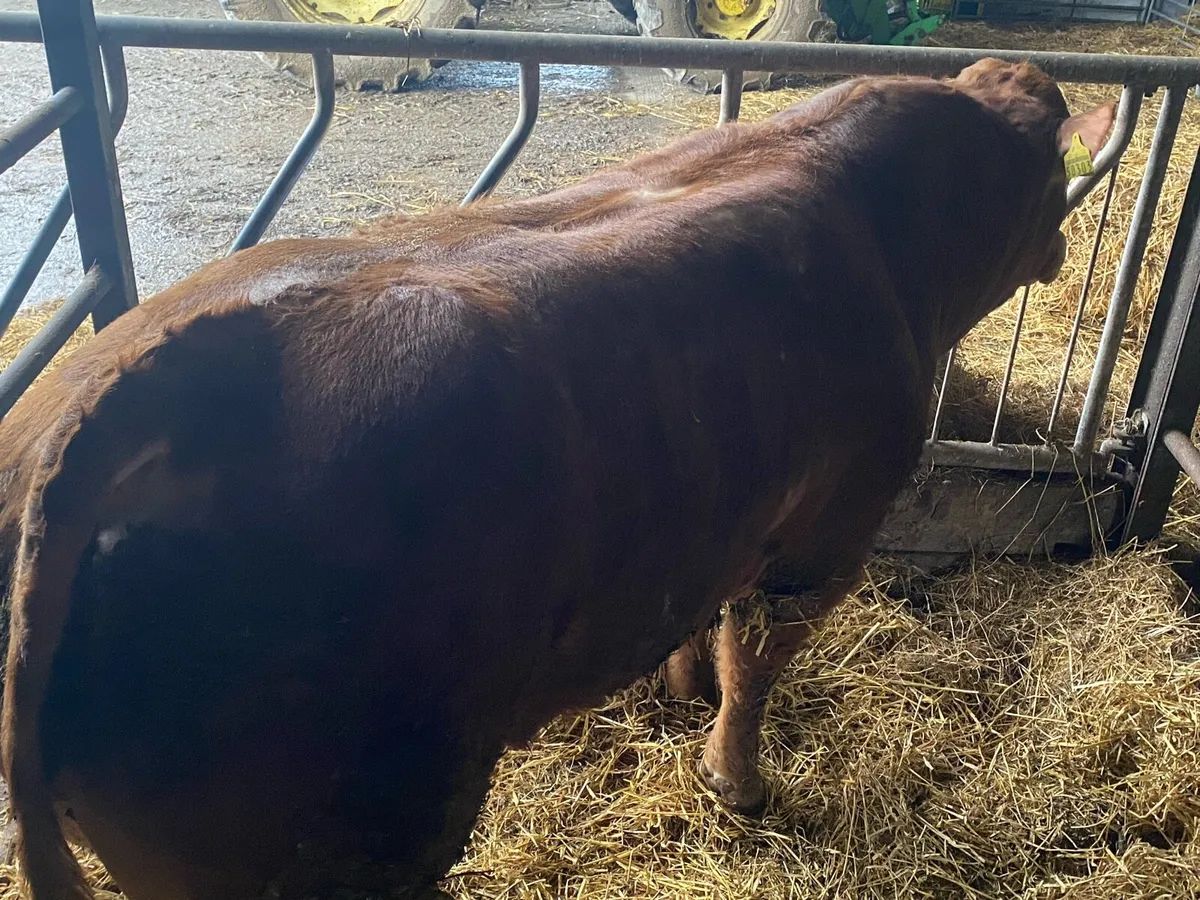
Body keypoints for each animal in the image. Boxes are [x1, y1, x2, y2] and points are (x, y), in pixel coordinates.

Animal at [0, 59, 1112, 900]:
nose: (1061, 242)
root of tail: (151, 392)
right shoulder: (824, 534)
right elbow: (753, 663)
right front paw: (736, 784)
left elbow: (702, 624)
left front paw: (678, 691)